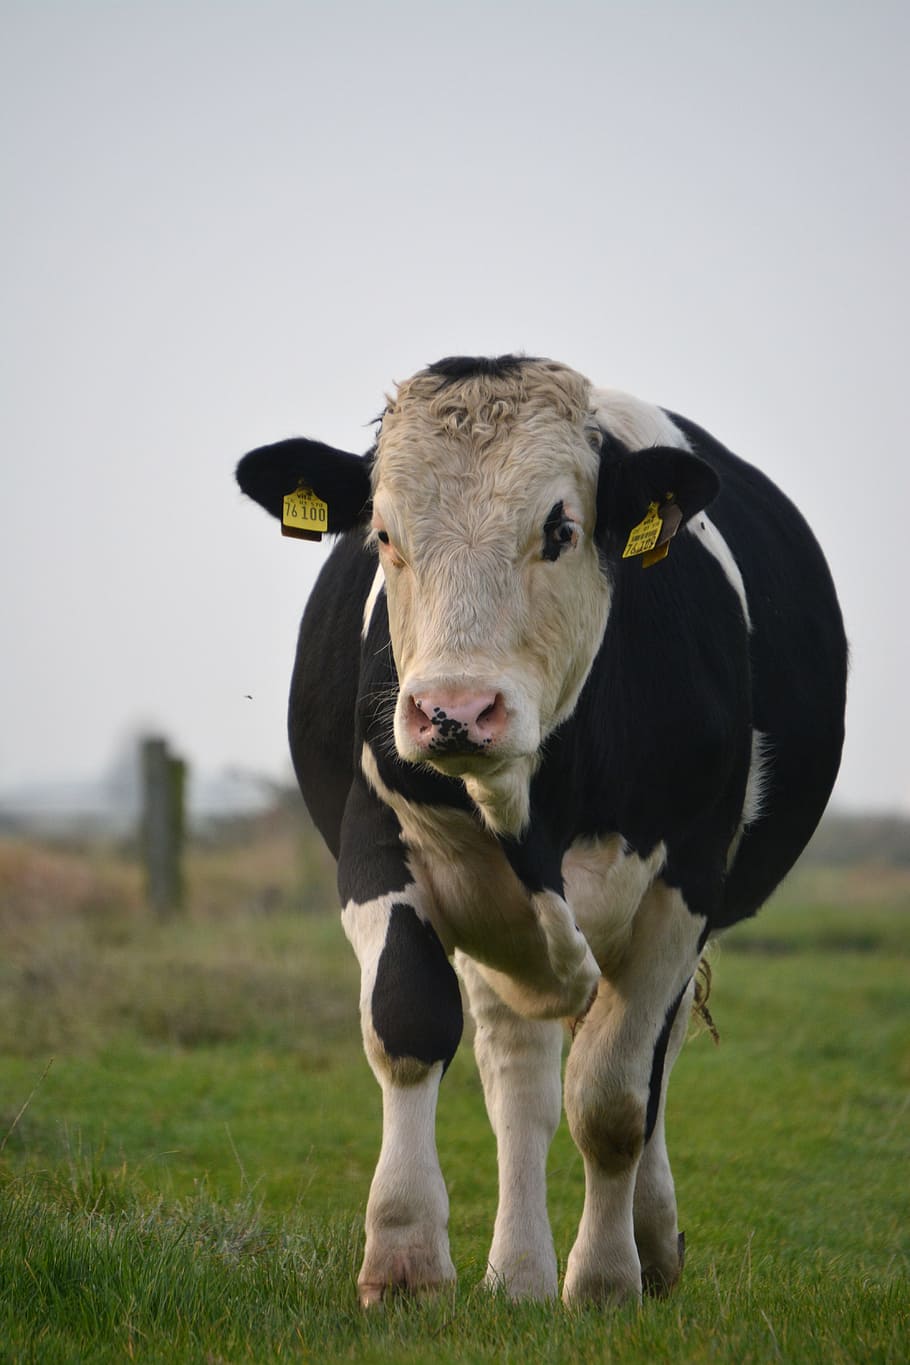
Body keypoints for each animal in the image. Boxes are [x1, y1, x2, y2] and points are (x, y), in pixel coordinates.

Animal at [236, 354, 846, 1308]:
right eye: (383, 532)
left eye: (561, 527)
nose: (453, 710)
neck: (532, 811)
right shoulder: (375, 840)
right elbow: (408, 1023)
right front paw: (406, 1260)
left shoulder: (686, 881)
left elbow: (614, 1097)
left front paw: (604, 1280)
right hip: (497, 925)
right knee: (517, 1076)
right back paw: (517, 1273)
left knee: (646, 1064)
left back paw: (646, 1244)